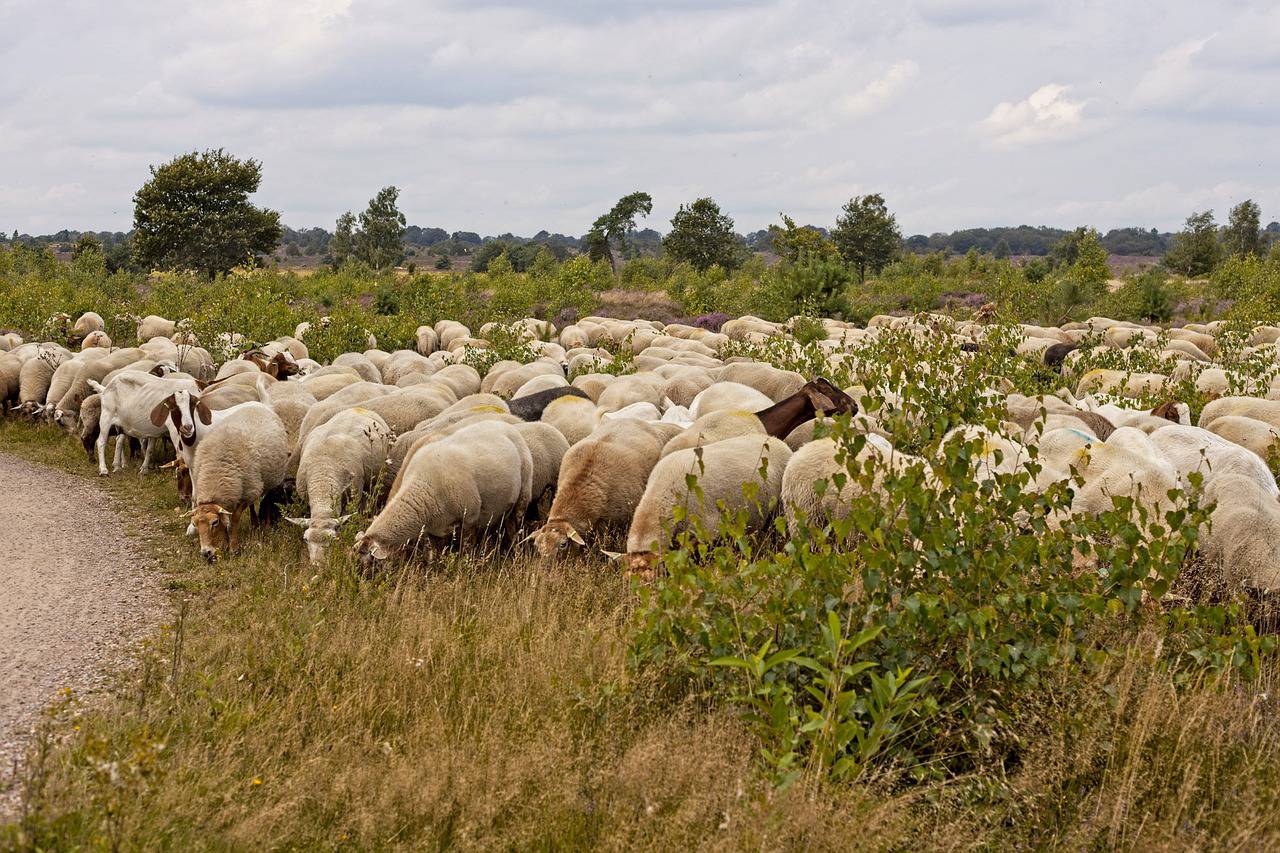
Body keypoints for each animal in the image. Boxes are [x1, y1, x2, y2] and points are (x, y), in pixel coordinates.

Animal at [189, 404, 290, 560]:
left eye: (214, 522)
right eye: (195, 524)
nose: (206, 553)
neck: (216, 472)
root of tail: (258, 406)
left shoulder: (247, 493)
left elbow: (234, 518)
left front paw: (233, 547)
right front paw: (224, 543)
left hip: (268, 480)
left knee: (266, 499)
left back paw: (264, 524)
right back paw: (254, 522)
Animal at [353, 417, 532, 563]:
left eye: (368, 563)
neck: (422, 489)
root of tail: (505, 426)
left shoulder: (469, 518)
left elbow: (467, 549)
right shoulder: (433, 529)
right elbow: (434, 554)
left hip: (523, 493)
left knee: (516, 527)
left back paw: (517, 553)